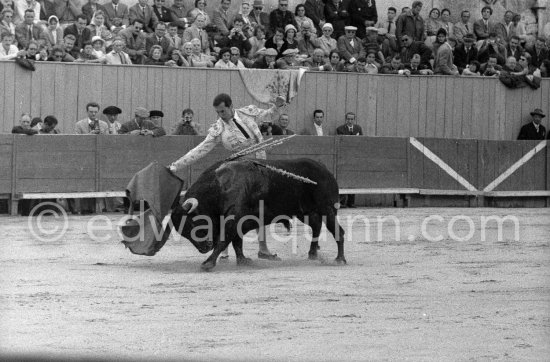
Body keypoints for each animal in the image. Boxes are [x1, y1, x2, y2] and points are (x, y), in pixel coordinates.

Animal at [123, 157, 348, 270]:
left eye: (194, 224)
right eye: (183, 231)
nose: (203, 248)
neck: (220, 187)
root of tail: (325, 170)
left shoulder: (234, 219)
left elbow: (225, 239)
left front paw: (208, 263)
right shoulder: (238, 222)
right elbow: (236, 242)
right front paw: (243, 260)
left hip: (327, 208)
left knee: (338, 232)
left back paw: (339, 259)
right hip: (305, 211)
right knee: (316, 227)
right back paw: (312, 254)